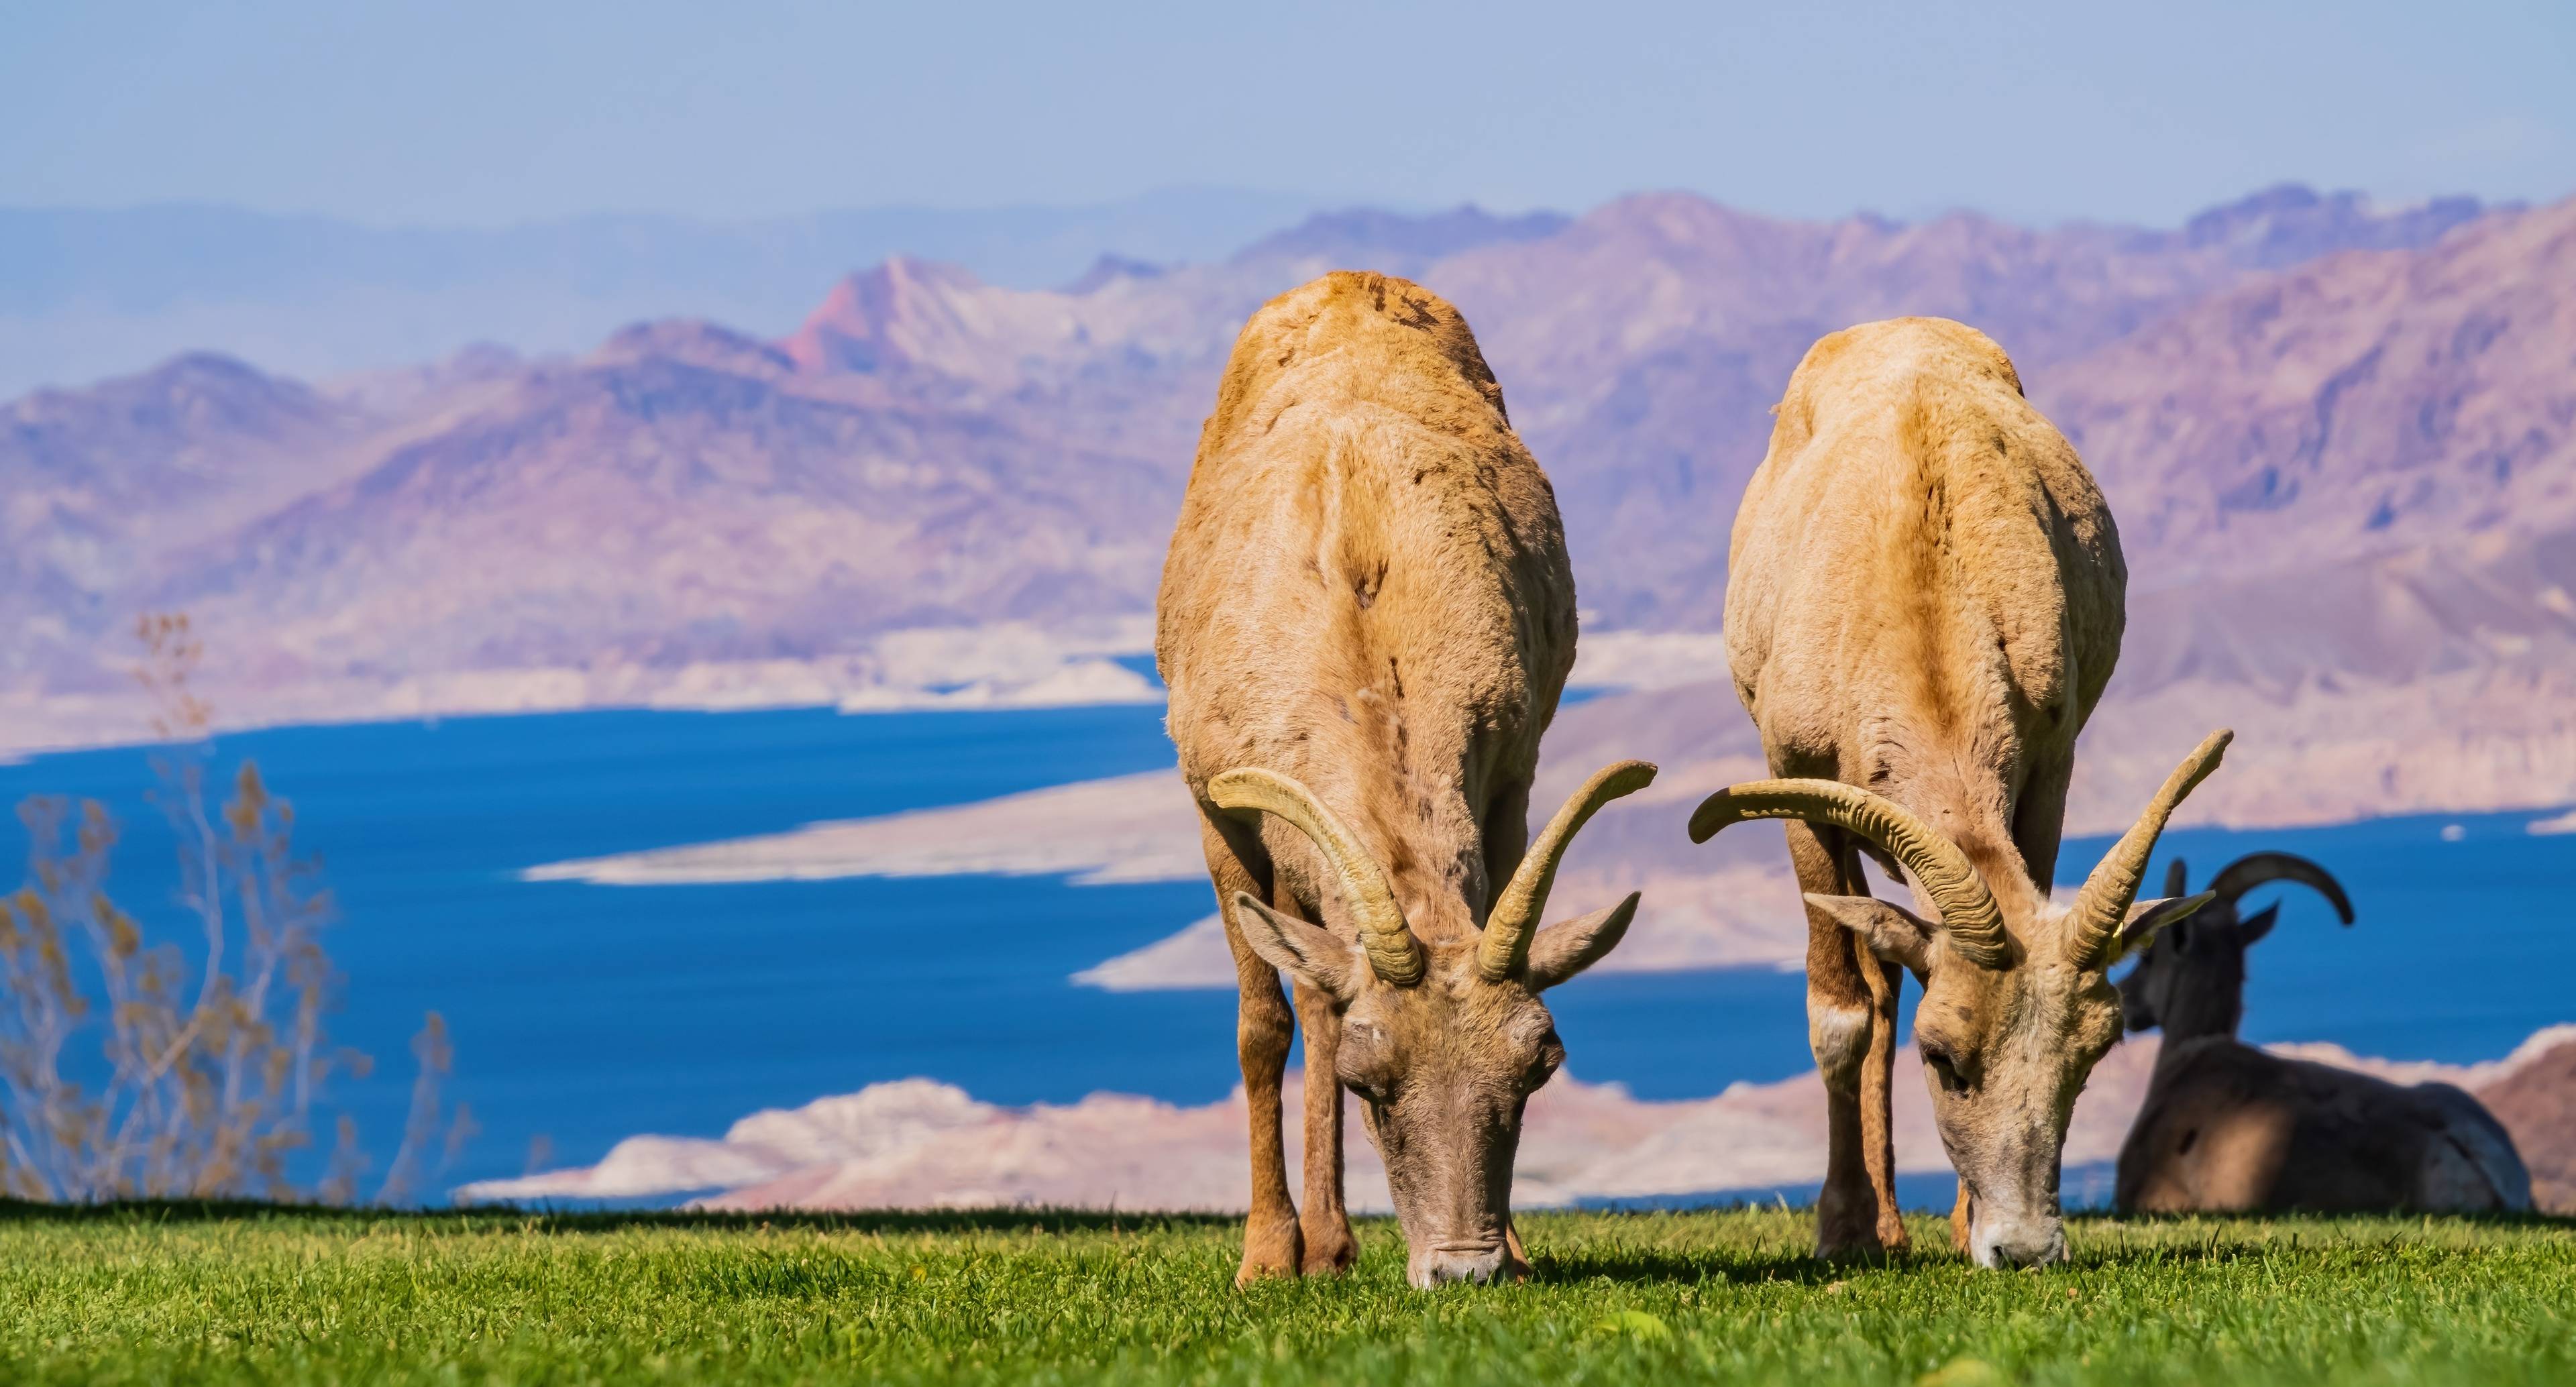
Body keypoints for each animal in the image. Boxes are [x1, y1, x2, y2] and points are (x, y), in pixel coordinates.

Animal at [1164, 271, 1648, 1292]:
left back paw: (1336, 1243)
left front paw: (1518, 1249)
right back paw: (1318, 1246)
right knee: (1306, 1005)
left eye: (1539, 1063)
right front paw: (1266, 1260)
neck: (1358, 611)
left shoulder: (1508, 779)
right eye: (1370, 1080)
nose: (1465, 1270)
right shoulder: (1220, 812)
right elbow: (1265, 1026)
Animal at [1700, 317, 2225, 1271]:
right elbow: (1842, 1013)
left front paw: (1958, 1227)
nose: (2024, 1248)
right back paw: (1878, 1225)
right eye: (1942, 1055)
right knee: (1874, 986)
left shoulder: (2047, 770)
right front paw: (1842, 1232)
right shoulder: (1796, 784)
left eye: (2090, 1056)